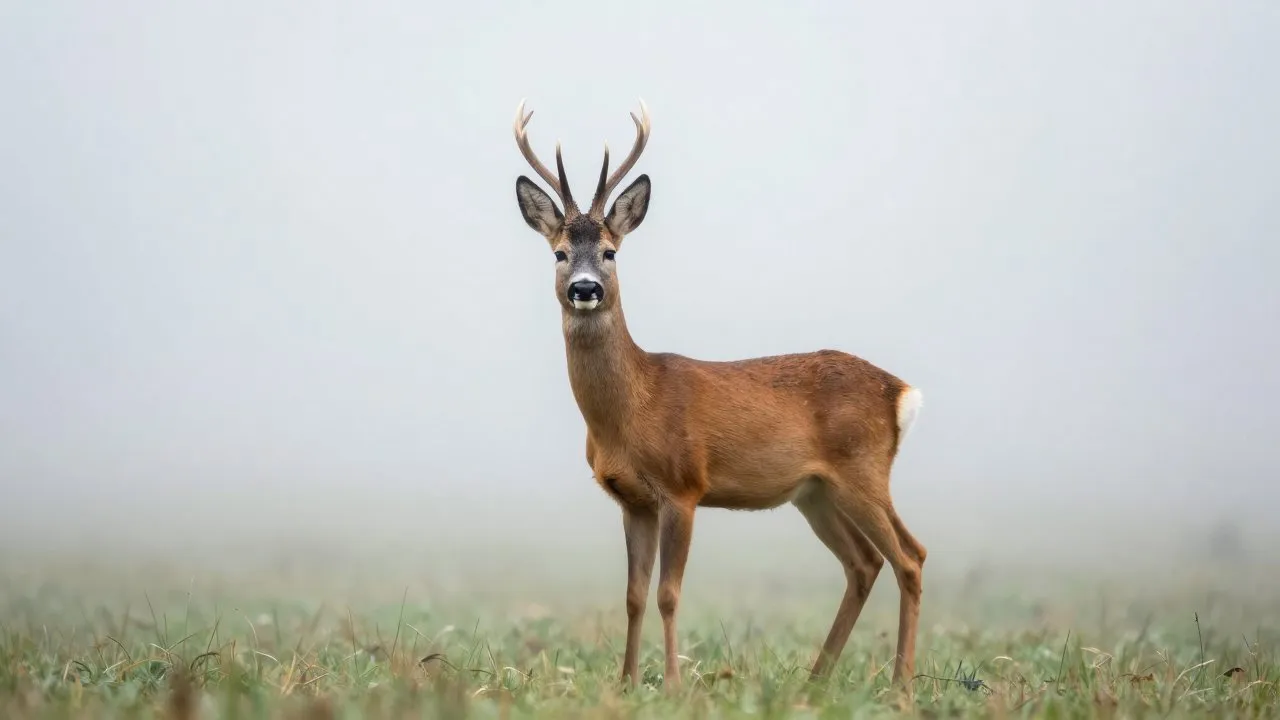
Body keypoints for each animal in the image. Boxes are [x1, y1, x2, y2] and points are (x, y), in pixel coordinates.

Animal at [511, 99, 928, 692]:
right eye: (560, 253)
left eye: (612, 252)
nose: (584, 289)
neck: (632, 410)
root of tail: (900, 393)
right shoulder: (631, 499)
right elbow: (633, 595)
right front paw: (627, 683)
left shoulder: (683, 487)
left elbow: (668, 594)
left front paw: (673, 685)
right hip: (815, 492)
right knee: (864, 564)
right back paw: (815, 680)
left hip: (863, 470)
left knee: (910, 558)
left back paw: (900, 687)